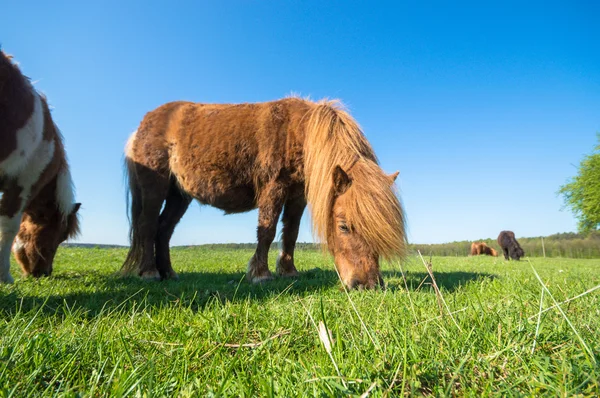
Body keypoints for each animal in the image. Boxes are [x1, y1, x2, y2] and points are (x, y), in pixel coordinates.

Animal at [123, 96, 408, 290]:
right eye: (343, 226)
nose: (367, 284)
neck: (298, 132)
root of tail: (139, 128)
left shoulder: (297, 196)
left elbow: (290, 233)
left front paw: (289, 271)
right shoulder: (274, 188)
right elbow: (268, 230)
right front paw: (261, 274)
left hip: (180, 195)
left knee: (164, 230)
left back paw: (169, 273)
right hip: (155, 188)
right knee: (148, 225)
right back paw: (149, 272)